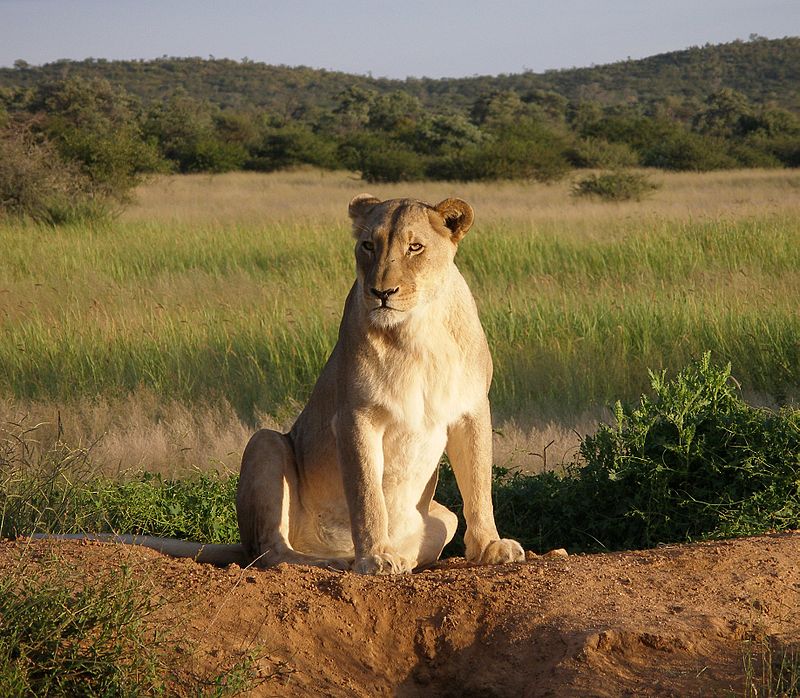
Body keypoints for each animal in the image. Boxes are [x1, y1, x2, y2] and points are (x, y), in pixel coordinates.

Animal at [35, 195, 525, 575]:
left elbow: (479, 484)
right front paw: (375, 558)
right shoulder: (354, 417)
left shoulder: (471, 409)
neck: (419, 329)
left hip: (441, 514)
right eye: (368, 245)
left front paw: (490, 547)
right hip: (266, 442)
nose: (381, 292)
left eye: (415, 247)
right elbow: (367, 494)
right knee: (270, 553)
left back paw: (400, 556)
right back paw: (342, 559)